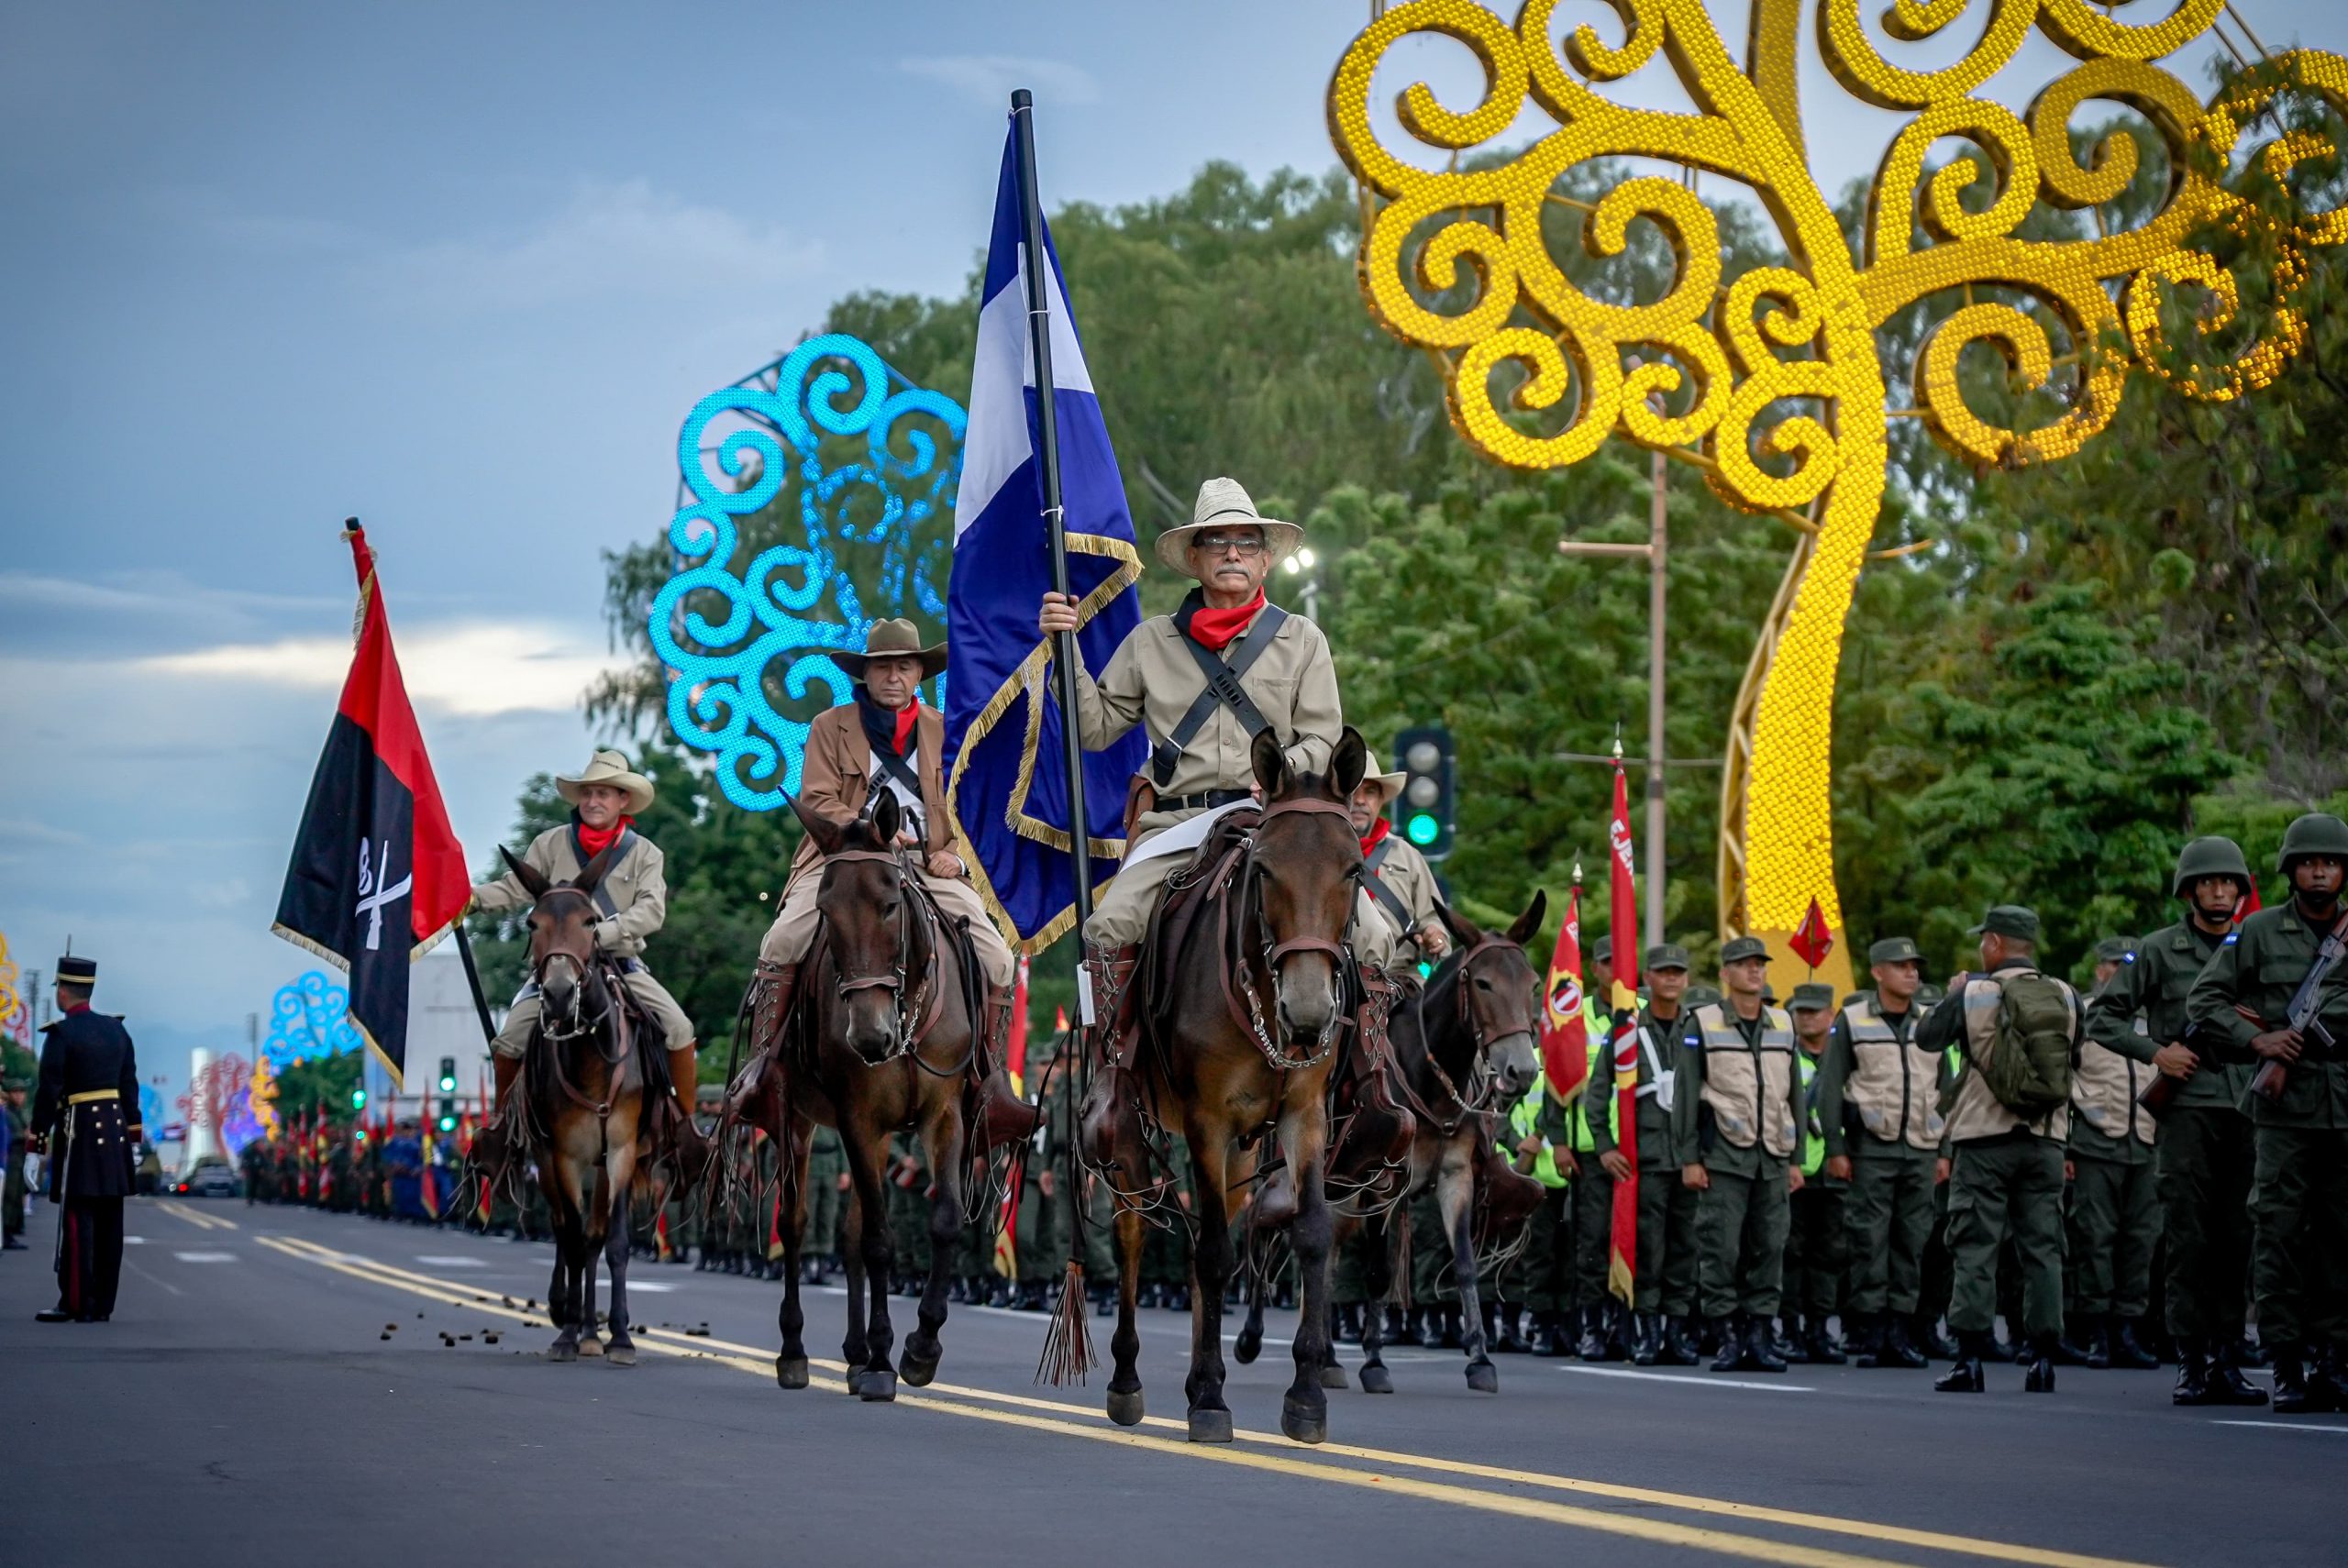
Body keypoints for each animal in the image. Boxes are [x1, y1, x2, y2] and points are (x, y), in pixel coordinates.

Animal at [495, 840, 657, 1361]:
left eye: (590, 921)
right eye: (532, 923)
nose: (561, 993)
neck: (590, 1057)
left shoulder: (622, 1151)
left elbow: (613, 1241)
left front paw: (620, 1336)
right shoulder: (563, 1155)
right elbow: (566, 1236)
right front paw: (566, 1330)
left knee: (592, 1237)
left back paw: (592, 1331)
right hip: (548, 1160)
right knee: (565, 1228)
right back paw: (570, 1318)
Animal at [737, 789, 986, 1398]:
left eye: (891, 904)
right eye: (826, 912)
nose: (869, 1036)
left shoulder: (943, 1115)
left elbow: (944, 1220)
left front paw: (920, 1347)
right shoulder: (857, 1119)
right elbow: (878, 1240)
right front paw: (881, 1359)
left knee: (846, 1236)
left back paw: (854, 1353)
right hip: (798, 1121)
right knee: (796, 1225)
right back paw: (797, 1352)